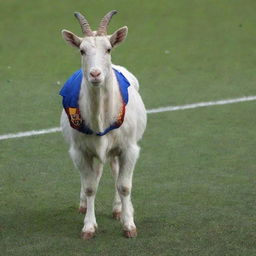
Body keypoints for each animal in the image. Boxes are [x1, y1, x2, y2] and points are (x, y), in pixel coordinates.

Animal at [58, 9, 146, 238]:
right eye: (81, 50)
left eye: (108, 48)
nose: (95, 74)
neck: (100, 120)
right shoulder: (80, 150)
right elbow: (90, 186)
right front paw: (89, 228)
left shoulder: (129, 148)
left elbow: (124, 186)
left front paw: (129, 226)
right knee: (95, 175)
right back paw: (83, 205)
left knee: (114, 172)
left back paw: (118, 209)